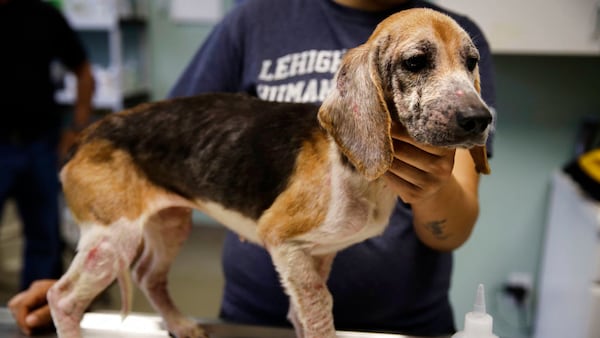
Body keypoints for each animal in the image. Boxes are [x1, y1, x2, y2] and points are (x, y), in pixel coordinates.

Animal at [49, 7, 492, 338]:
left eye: (472, 62)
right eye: (415, 62)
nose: (480, 118)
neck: (353, 166)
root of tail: (87, 134)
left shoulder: (318, 253)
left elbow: (303, 311)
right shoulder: (282, 239)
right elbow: (319, 309)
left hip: (169, 222)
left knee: (147, 276)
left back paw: (179, 323)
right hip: (113, 236)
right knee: (62, 298)